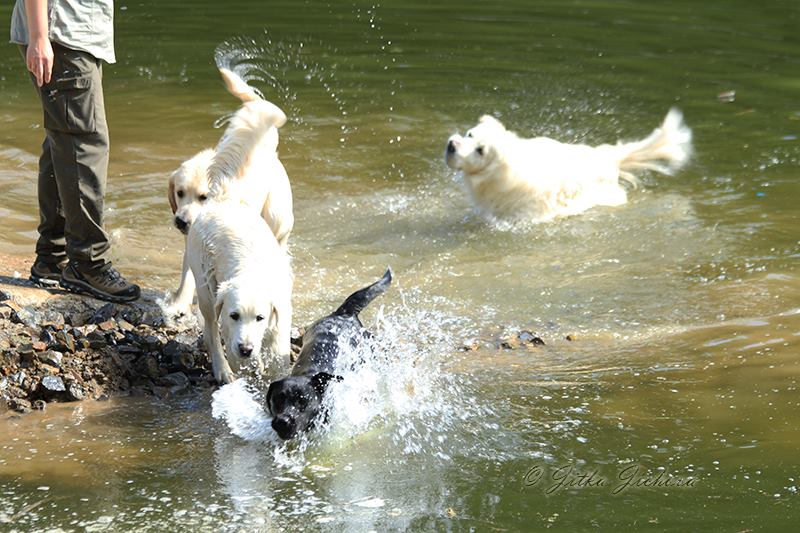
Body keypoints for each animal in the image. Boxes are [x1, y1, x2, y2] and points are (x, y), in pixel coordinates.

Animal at [166, 68, 294, 314]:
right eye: (180, 192)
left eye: (202, 197)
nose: (181, 221)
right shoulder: (195, 243)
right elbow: (188, 275)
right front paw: (179, 303)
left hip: (277, 217)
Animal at [188, 200, 294, 382]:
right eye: (234, 315)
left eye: (260, 318)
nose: (245, 349)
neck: (252, 274)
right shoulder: (229, 328)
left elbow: (277, 362)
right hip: (204, 284)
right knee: (211, 328)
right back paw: (223, 370)